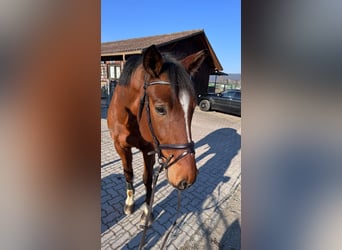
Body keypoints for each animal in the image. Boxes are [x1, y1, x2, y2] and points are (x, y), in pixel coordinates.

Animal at [107, 45, 206, 227]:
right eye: (160, 109)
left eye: (193, 107)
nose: (187, 178)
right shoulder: (120, 146)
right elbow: (128, 173)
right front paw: (130, 203)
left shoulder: (149, 150)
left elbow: (148, 179)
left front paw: (147, 212)